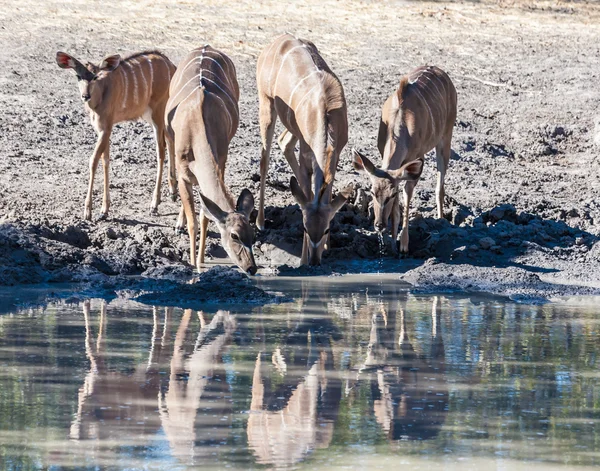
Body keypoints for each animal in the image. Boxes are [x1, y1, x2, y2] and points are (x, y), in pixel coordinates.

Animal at [54, 50, 177, 221]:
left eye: (95, 77)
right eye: (78, 76)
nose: (85, 96)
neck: (99, 97)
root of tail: (172, 65)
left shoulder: (105, 128)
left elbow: (94, 160)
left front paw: (88, 211)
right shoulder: (103, 129)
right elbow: (105, 160)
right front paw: (104, 210)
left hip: (158, 112)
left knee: (161, 151)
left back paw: (154, 204)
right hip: (157, 115)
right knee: (170, 140)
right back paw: (173, 191)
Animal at [165, 45, 256, 274]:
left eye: (253, 235)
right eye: (234, 235)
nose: (251, 268)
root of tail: (206, 46)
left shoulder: (220, 160)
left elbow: (205, 216)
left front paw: (200, 261)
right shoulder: (183, 173)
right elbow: (193, 223)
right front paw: (192, 263)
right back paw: (177, 223)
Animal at [255, 34, 354, 266]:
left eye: (326, 229)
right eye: (305, 229)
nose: (315, 261)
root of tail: (276, 42)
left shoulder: (335, 155)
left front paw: (328, 247)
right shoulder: (306, 155)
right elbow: (308, 193)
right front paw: (301, 260)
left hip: (291, 129)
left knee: (284, 142)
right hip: (267, 106)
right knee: (265, 160)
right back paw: (260, 222)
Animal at [354, 65, 458, 254]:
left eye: (391, 195)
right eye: (372, 192)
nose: (379, 225)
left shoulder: (417, 158)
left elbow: (406, 193)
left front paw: (403, 244)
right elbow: (397, 206)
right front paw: (392, 243)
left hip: (446, 136)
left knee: (440, 183)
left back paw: (441, 220)